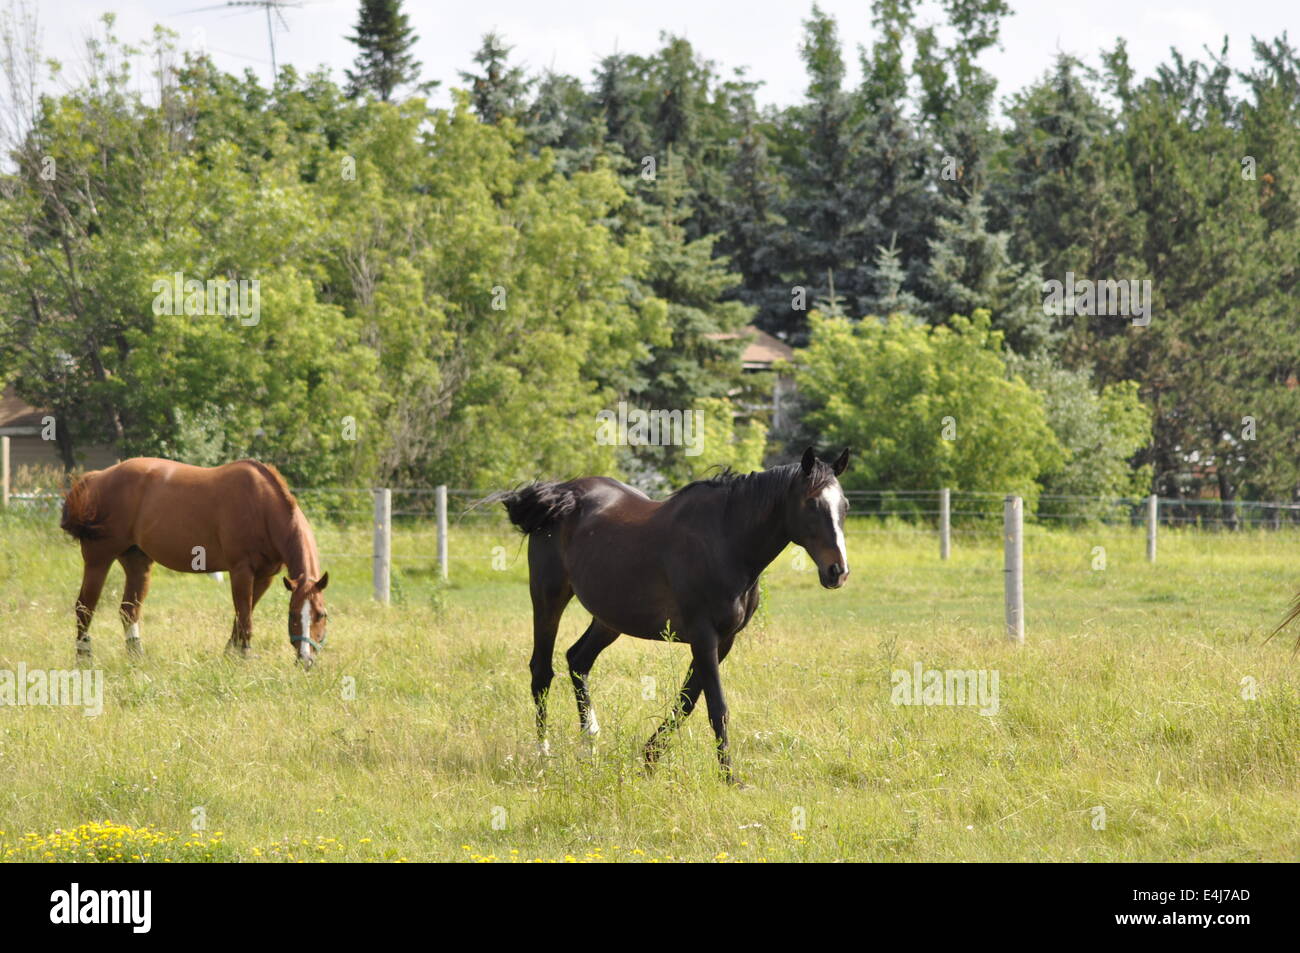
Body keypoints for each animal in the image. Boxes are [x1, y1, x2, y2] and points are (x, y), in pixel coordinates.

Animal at [61, 457, 330, 665]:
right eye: (293, 615)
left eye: (321, 614)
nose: (306, 659)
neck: (261, 506)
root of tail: (96, 478)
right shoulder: (241, 571)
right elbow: (245, 619)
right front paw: (243, 659)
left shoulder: (264, 576)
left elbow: (241, 617)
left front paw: (229, 655)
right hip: (98, 560)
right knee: (84, 608)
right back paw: (84, 659)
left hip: (137, 563)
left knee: (129, 611)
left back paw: (137, 658)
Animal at [499, 447, 852, 780]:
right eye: (811, 504)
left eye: (845, 506)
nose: (838, 571)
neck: (725, 543)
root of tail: (561, 494)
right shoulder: (703, 636)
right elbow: (716, 707)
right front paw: (729, 778)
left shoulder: (723, 641)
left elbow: (688, 702)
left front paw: (649, 759)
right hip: (548, 598)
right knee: (541, 671)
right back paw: (544, 755)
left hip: (609, 618)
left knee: (577, 660)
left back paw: (590, 745)